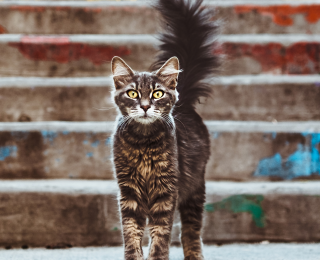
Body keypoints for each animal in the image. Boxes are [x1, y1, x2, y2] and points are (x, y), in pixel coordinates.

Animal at [111, 0, 219, 260]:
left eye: (157, 93)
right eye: (133, 93)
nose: (145, 106)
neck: (143, 142)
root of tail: (184, 103)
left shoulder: (166, 192)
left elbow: (160, 237)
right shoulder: (128, 193)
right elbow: (131, 235)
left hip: (195, 189)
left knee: (191, 231)